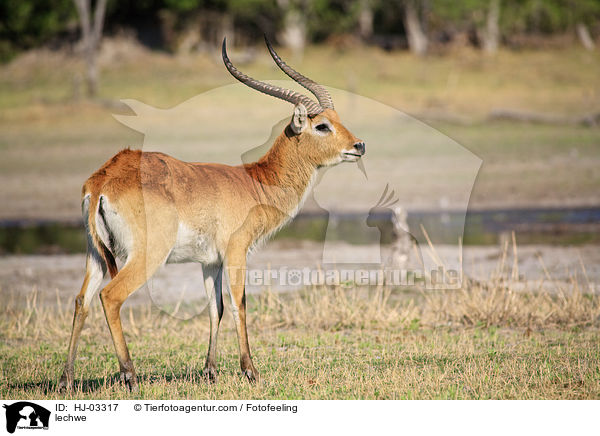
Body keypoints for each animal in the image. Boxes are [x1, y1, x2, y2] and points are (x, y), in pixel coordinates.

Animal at [58, 38, 366, 392]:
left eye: (337, 118)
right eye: (322, 126)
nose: (359, 145)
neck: (255, 183)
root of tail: (104, 179)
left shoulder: (210, 261)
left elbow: (215, 308)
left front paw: (210, 371)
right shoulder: (237, 252)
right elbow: (238, 303)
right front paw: (251, 371)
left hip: (96, 253)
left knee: (81, 300)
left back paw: (66, 380)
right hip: (147, 255)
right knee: (110, 296)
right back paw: (130, 376)